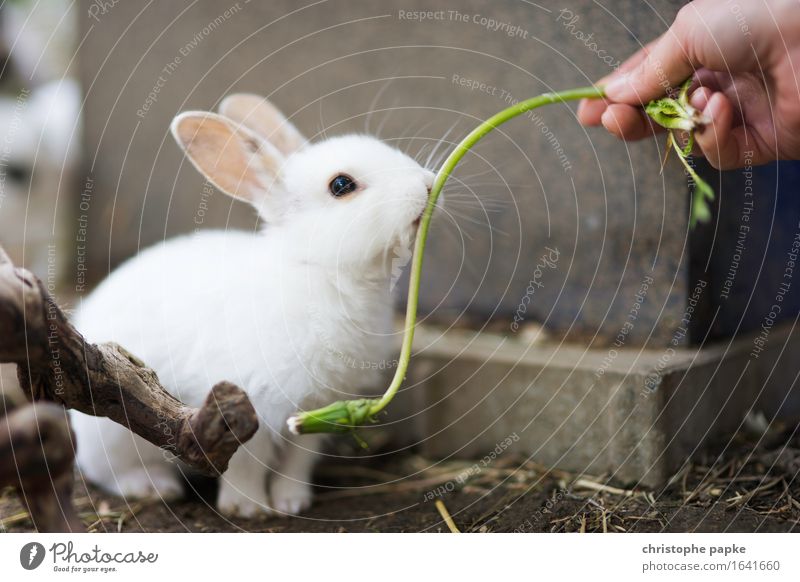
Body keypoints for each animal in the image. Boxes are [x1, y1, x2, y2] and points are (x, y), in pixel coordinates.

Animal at [72, 96, 434, 520]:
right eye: (341, 185)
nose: (428, 184)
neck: (318, 272)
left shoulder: (313, 410)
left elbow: (297, 460)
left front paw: (292, 502)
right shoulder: (249, 403)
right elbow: (247, 461)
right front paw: (248, 508)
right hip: (113, 432)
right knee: (104, 470)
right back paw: (152, 486)